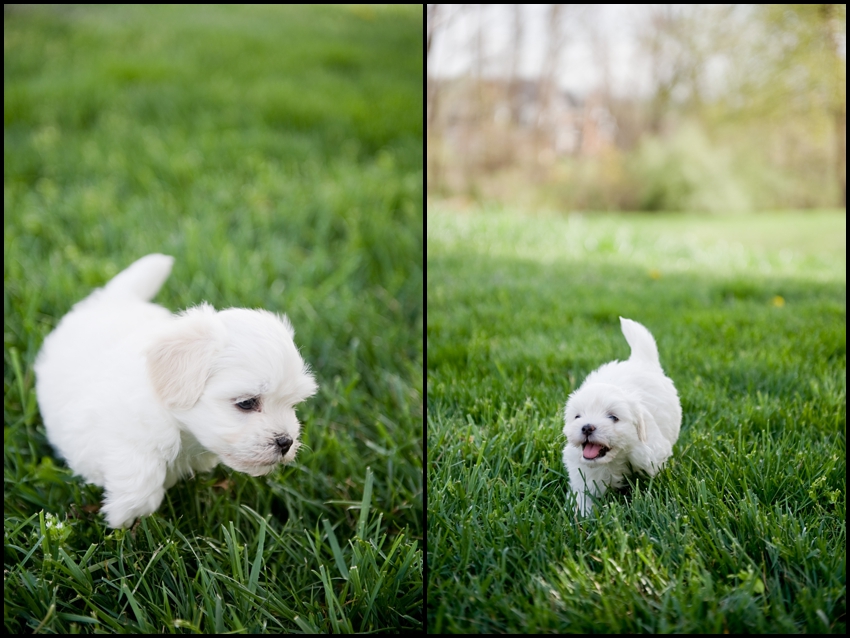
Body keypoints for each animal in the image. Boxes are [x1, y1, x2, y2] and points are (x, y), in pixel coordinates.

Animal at [32, 255, 318, 528]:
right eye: (247, 403)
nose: (286, 442)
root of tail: (112, 300)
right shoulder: (122, 434)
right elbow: (140, 473)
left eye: (293, 404)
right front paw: (128, 519)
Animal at [560, 318, 680, 516]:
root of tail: (640, 361)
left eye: (613, 417)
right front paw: (584, 516)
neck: (616, 458)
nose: (586, 427)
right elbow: (583, 494)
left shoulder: (652, 453)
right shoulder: (582, 472)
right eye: (577, 416)